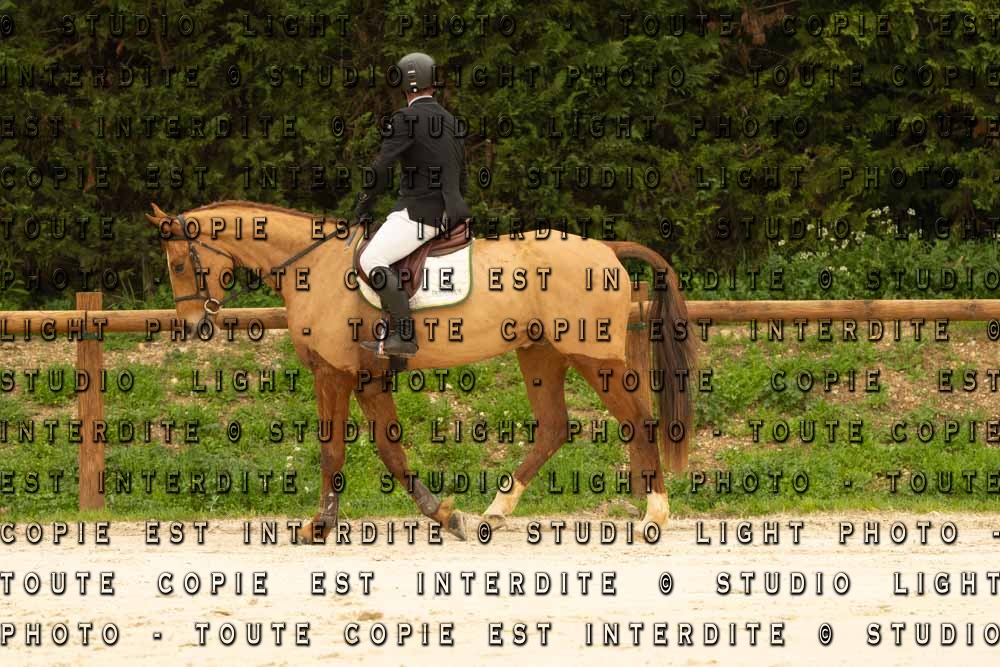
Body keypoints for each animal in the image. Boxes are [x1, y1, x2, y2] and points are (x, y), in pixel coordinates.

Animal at [145, 200, 693, 542]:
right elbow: (391, 452)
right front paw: (447, 516)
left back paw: (654, 515)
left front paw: (318, 526)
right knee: (555, 428)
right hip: (539, 353)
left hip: (593, 357)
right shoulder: (367, 379)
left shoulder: (334, 374)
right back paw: (494, 512)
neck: (314, 267)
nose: (193, 326)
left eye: (178, 264)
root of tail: (607, 249)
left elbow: (332, 451)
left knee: (637, 422)